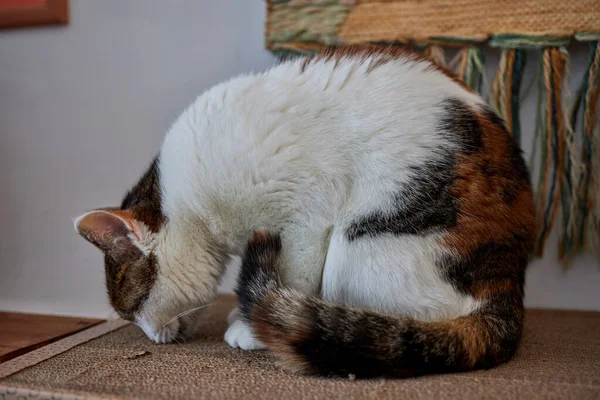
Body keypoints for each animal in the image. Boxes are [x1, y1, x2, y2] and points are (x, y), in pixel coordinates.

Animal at [75, 47, 536, 378]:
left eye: (131, 311)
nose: (150, 338)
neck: (194, 206)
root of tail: (508, 283)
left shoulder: (307, 217)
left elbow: (294, 274)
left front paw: (252, 328)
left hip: (355, 246)